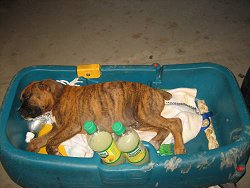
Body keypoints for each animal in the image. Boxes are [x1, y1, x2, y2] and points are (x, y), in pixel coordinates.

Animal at [19, 79, 186, 154]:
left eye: (27, 96)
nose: (19, 112)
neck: (57, 97)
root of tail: (156, 91)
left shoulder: (70, 127)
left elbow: (50, 142)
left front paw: (52, 150)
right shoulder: (57, 128)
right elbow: (40, 140)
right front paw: (32, 148)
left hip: (145, 114)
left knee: (174, 123)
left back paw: (178, 147)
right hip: (140, 121)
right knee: (164, 128)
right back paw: (155, 142)